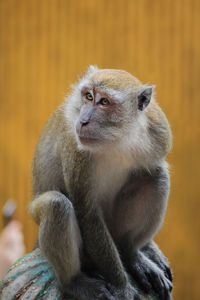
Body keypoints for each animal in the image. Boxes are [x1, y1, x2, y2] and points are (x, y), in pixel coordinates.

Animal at [30, 66, 173, 300]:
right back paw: (73, 282)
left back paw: (131, 253)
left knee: (156, 177)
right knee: (56, 205)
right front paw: (122, 286)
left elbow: (154, 170)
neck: (117, 138)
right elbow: (88, 214)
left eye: (104, 102)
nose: (83, 121)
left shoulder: (160, 132)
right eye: (88, 96)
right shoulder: (76, 149)